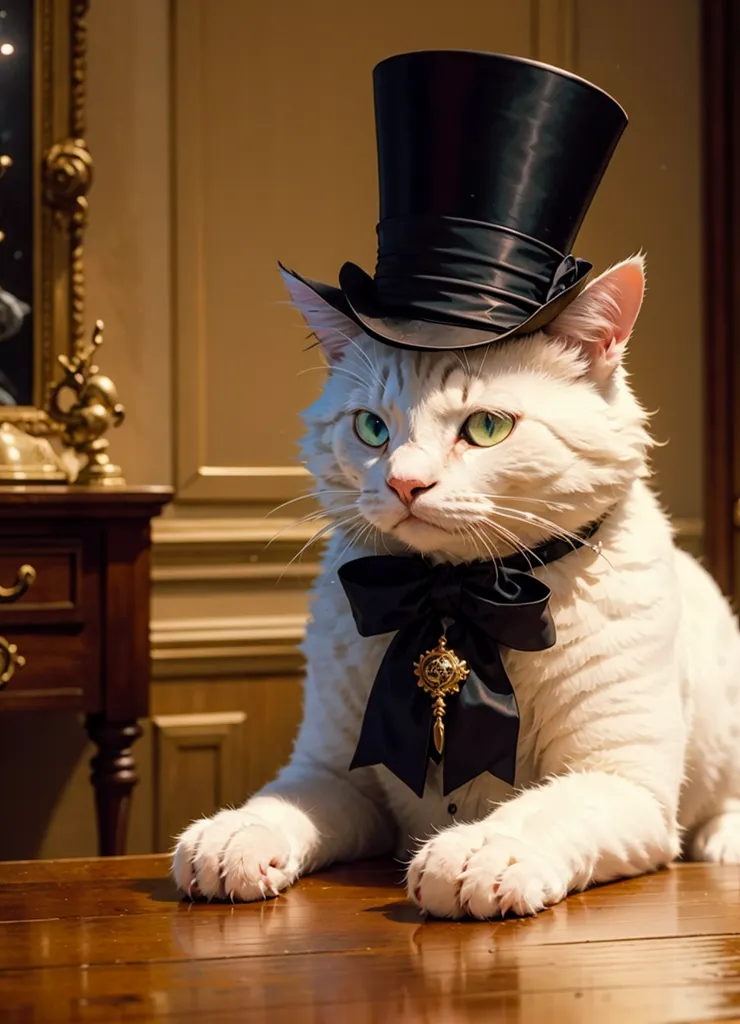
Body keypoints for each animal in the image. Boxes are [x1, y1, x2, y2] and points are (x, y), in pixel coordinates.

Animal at [171, 256, 740, 921]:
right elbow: (281, 802)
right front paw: (235, 834)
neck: (452, 597)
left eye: (486, 427)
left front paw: (476, 852)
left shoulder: (625, 783)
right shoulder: (335, 774)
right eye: (371, 428)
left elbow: (542, 809)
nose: (404, 483)